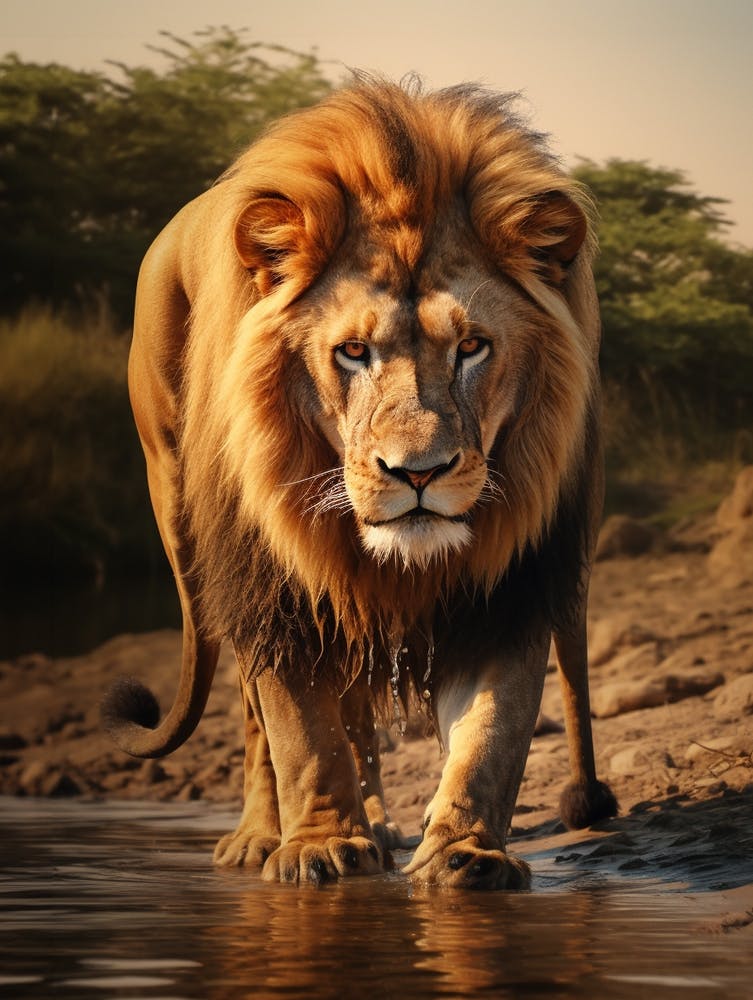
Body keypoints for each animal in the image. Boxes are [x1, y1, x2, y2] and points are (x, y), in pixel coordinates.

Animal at [102, 77, 617, 888]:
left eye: (472, 346)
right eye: (352, 351)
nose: (418, 472)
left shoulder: (512, 584)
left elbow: (491, 733)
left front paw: (466, 854)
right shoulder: (275, 586)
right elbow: (300, 733)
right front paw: (318, 847)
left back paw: (375, 821)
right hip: (188, 527)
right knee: (259, 716)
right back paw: (261, 836)